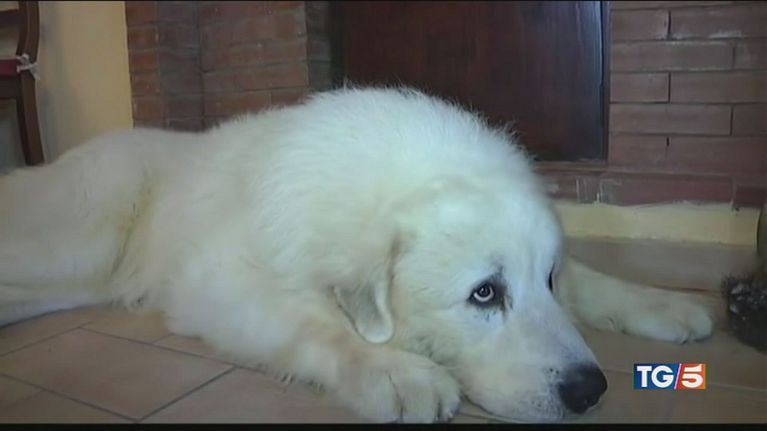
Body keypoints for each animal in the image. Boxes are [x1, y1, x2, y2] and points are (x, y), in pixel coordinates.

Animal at [0, 87, 713, 423]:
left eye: (547, 279)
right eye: (484, 293)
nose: (590, 389)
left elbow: (595, 282)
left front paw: (664, 305)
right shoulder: (220, 284)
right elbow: (314, 322)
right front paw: (397, 372)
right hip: (81, 241)